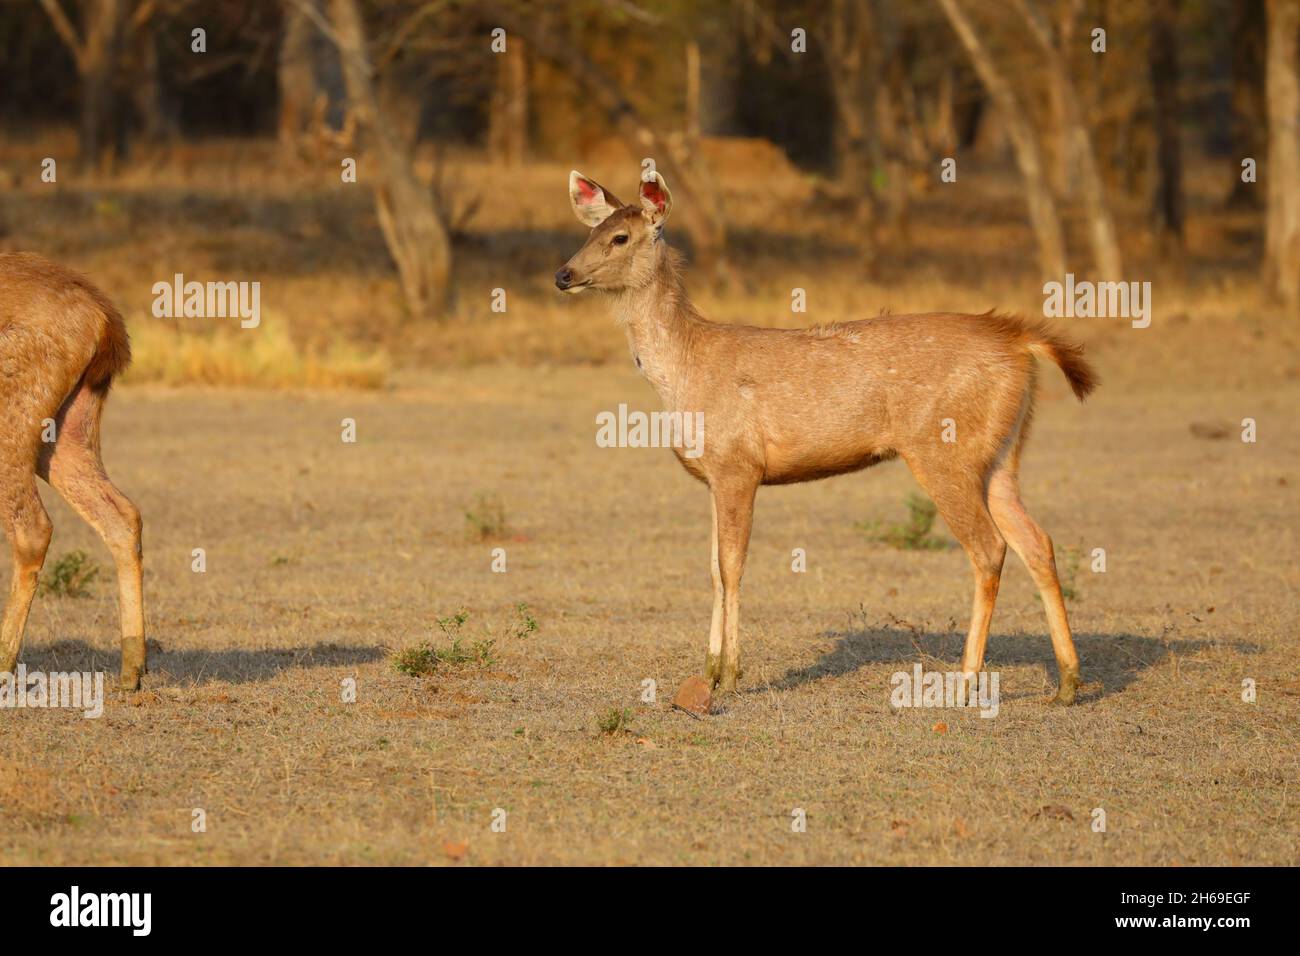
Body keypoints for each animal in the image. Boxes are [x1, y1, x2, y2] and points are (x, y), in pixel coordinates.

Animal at [559, 166, 1097, 702]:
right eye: (591, 231)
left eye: (620, 237)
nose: (562, 274)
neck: (685, 371)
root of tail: (1022, 342)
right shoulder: (713, 475)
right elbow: (712, 568)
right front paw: (707, 673)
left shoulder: (738, 464)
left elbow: (732, 566)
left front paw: (730, 676)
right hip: (1000, 453)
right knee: (1037, 542)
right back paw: (1068, 684)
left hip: (944, 449)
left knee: (989, 549)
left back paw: (966, 682)